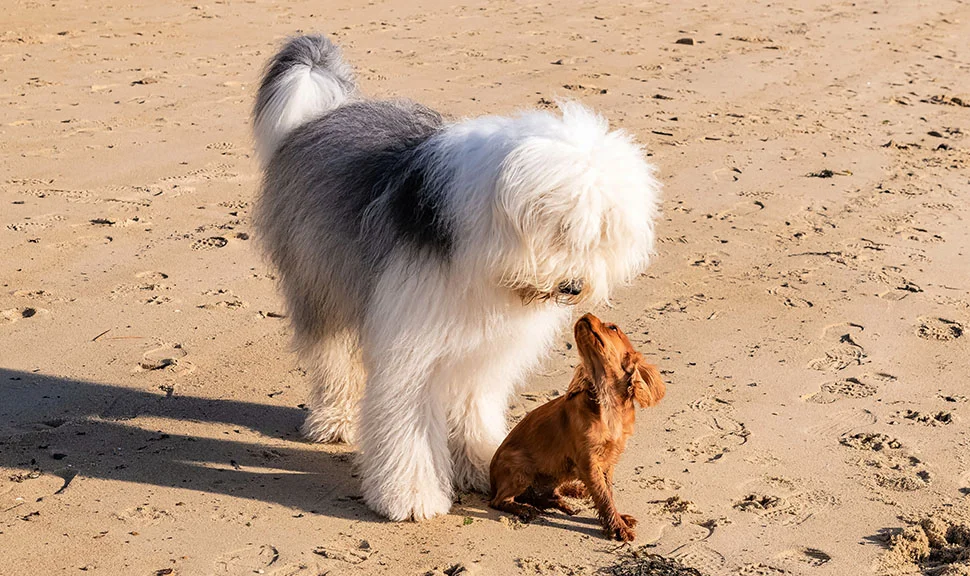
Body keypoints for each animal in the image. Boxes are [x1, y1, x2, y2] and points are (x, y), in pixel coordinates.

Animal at [488, 312, 660, 536]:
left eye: (613, 328)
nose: (586, 314)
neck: (606, 401)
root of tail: (491, 481)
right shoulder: (588, 460)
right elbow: (603, 495)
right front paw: (617, 528)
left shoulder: (608, 460)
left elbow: (607, 491)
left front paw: (619, 519)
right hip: (521, 469)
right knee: (499, 501)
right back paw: (525, 509)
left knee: (546, 494)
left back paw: (569, 498)